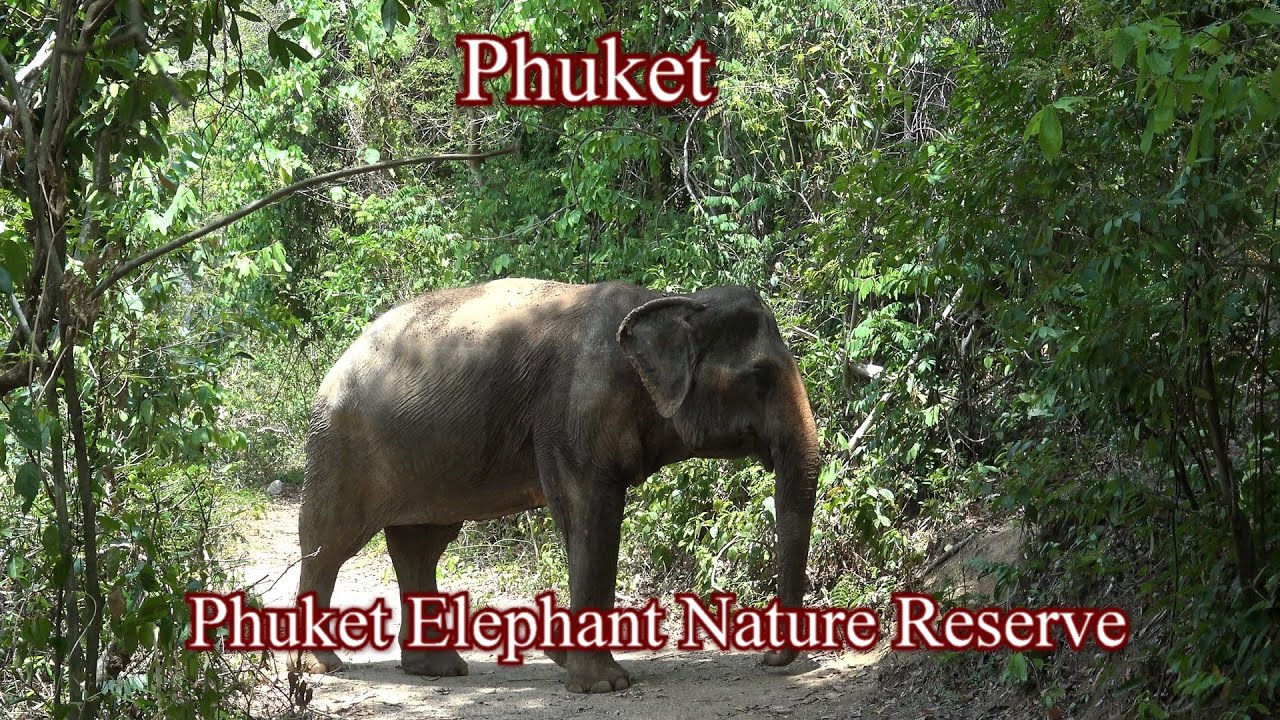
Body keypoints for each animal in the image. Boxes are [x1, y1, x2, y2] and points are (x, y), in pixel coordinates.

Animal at [291, 278, 821, 693]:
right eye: (760, 377)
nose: (767, 660)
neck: (673, 300)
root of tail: (336, 365)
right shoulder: (574, 413)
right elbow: (592, 515)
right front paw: (606, 684)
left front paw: (565, 659)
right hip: (341, 447)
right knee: (329, 543)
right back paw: (323, 665)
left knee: (421, 545)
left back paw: (438, 669)